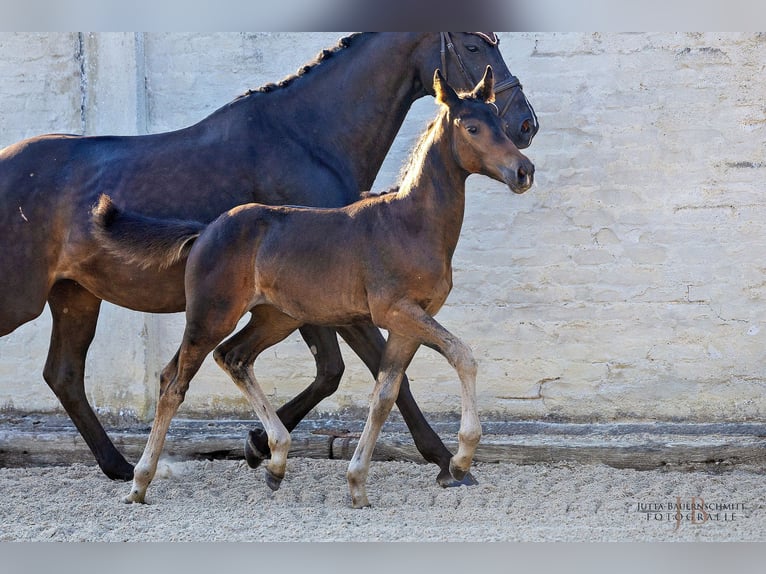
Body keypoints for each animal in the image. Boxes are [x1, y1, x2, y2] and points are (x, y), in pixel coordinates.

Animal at [0, 32, 540, 486]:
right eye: (473, 45)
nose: (525, 124)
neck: (306, 136)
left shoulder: (313, 303)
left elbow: (340, 373)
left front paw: (260, 446)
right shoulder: (349, 303)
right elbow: (376, 374)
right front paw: (445, 458)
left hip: (75, 296)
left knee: (65, 374)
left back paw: (120, 466)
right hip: (27, 298)